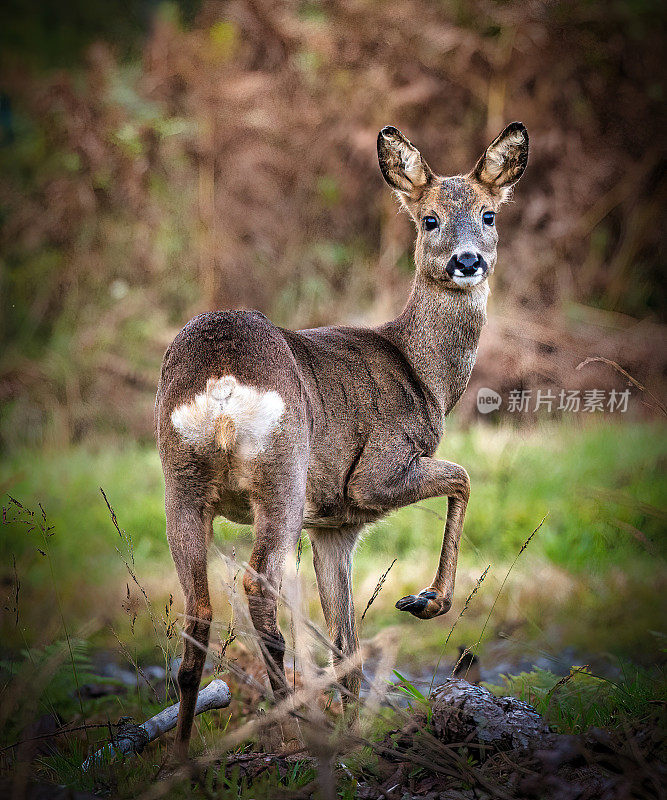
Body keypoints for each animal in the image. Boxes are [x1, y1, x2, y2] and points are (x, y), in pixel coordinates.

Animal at [155, 122, 528, 760]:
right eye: (428, 219)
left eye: (488, 214)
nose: (468, 261)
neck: (422, 375)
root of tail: (222, 384)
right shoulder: (372, 478)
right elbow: (462, 476)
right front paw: (427, 601)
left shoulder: (334, 525)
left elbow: (345, 644)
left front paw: (355, 729)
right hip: (282, 475)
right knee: (257, 588)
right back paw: (290, 729)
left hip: (180, 479)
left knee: (199, 611)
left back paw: (182, 756)